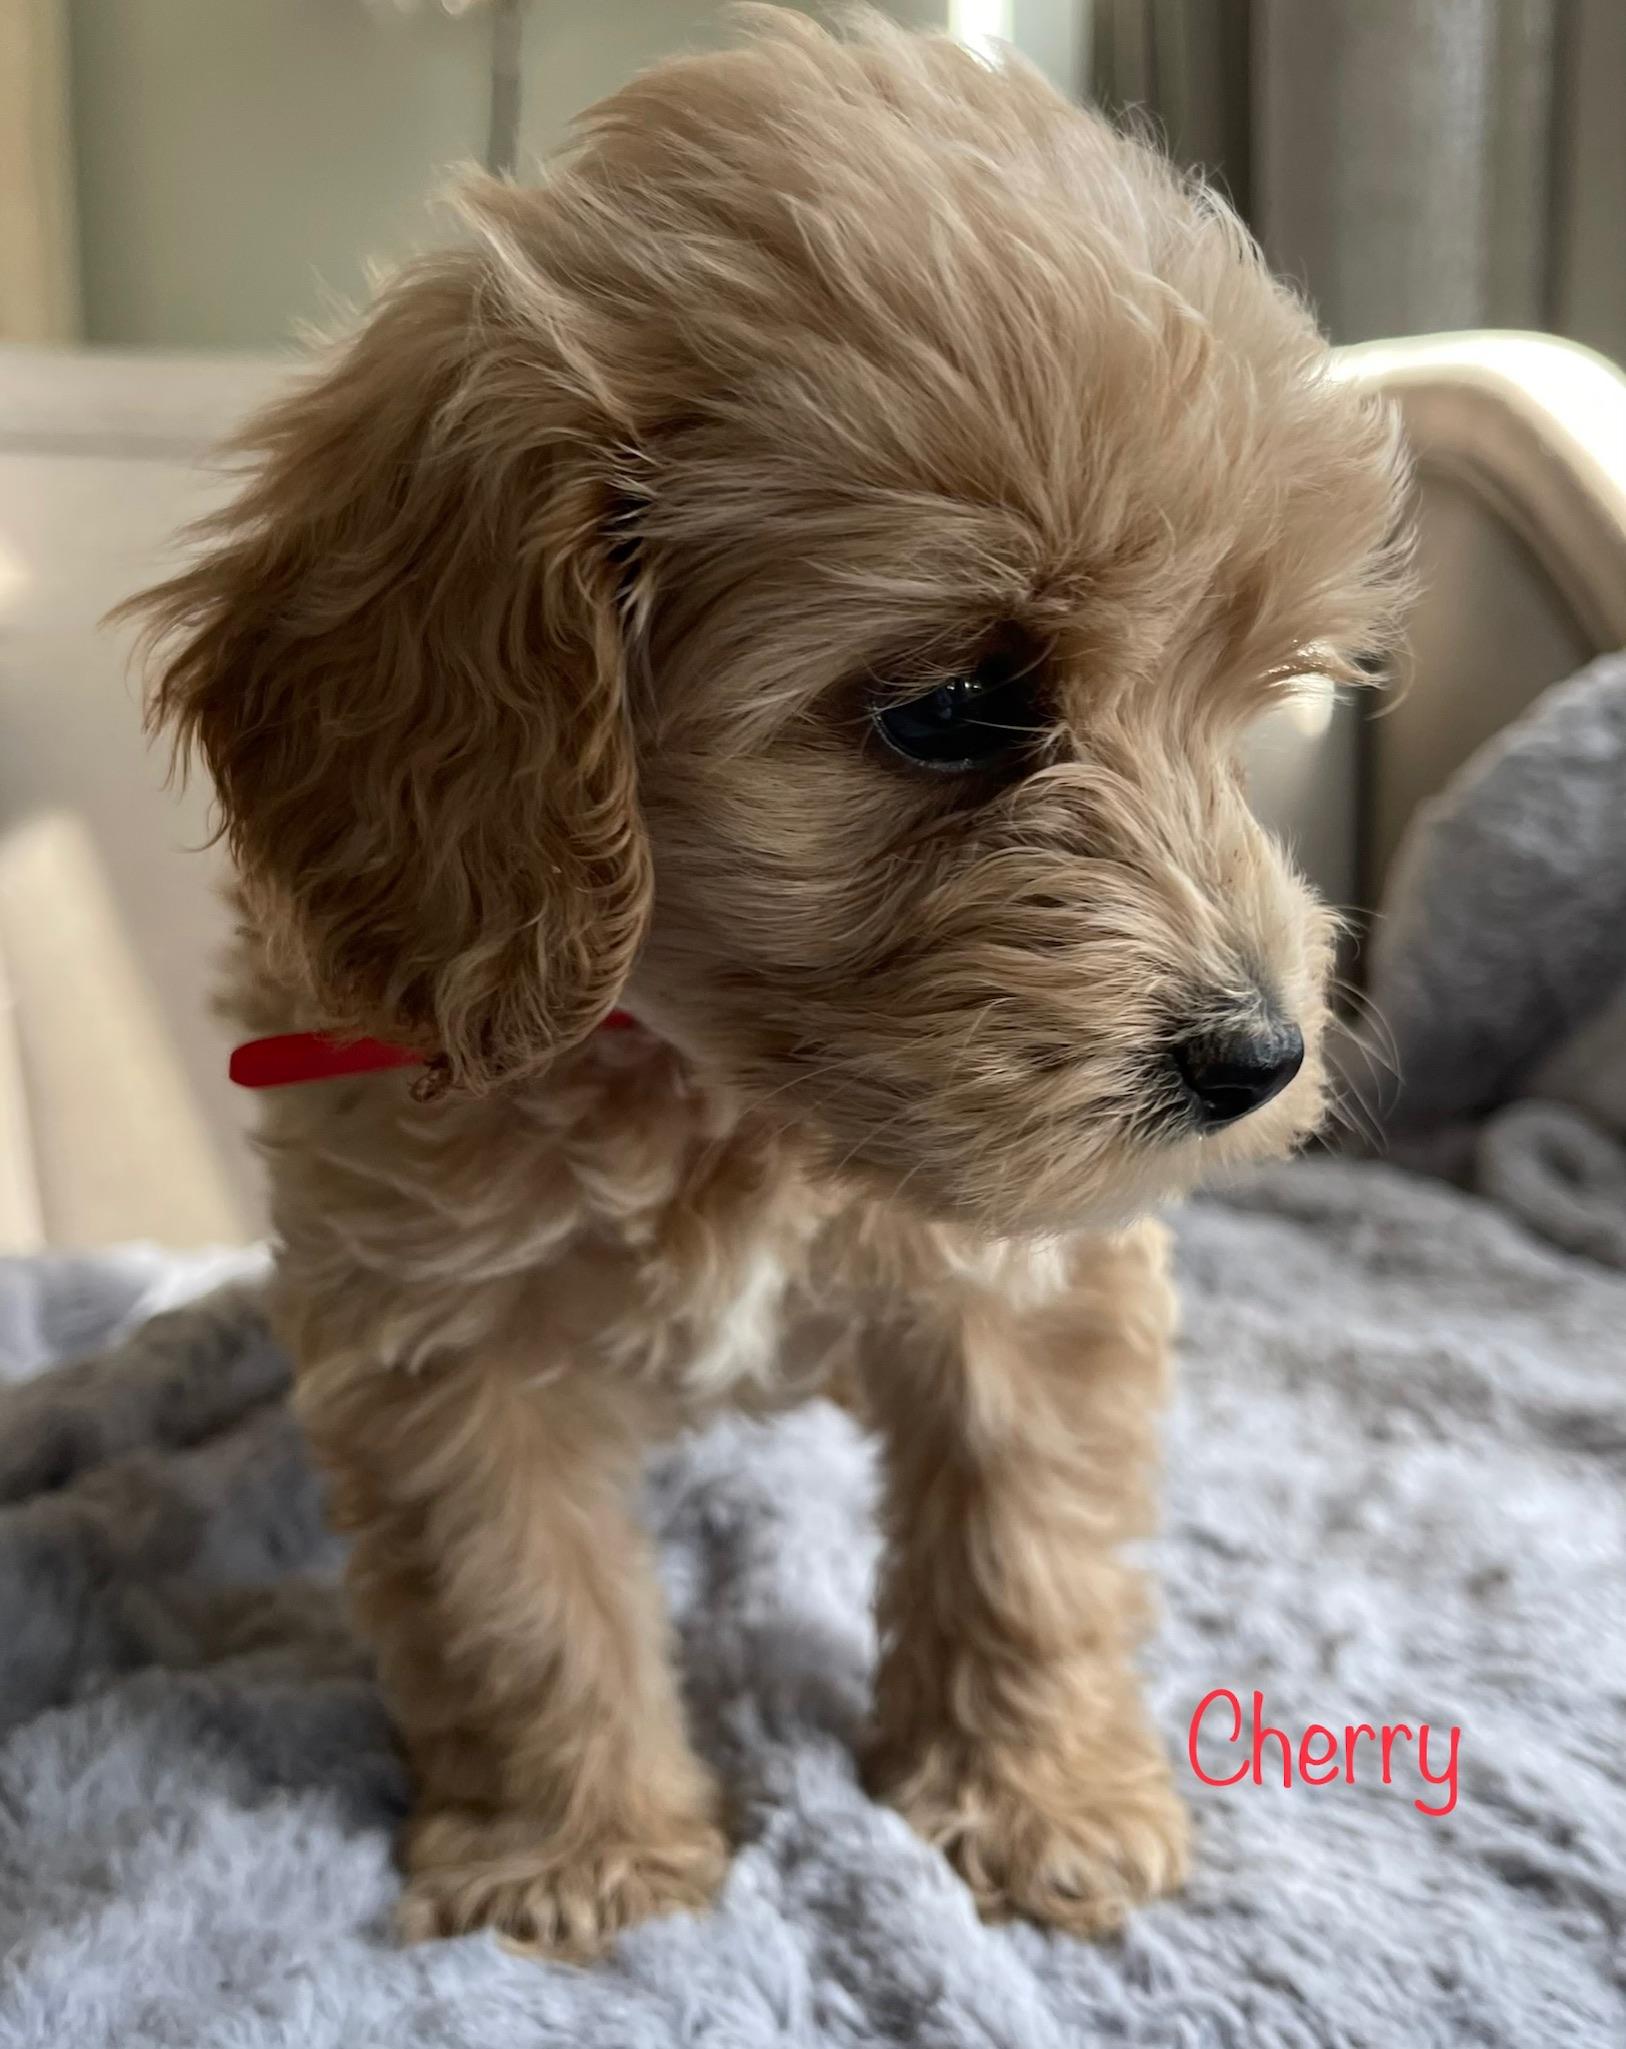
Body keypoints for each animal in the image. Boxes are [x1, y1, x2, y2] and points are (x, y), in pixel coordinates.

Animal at [126, 9, 1408, 1959]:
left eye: (1249, 703)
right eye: (952, 707)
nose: (1257, 1056)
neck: (718, 1084)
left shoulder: (1036, 1278)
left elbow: (1028, 1537)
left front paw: (1035, 1802)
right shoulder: (441, 1321)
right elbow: (518, 1594)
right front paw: (578, 1850)